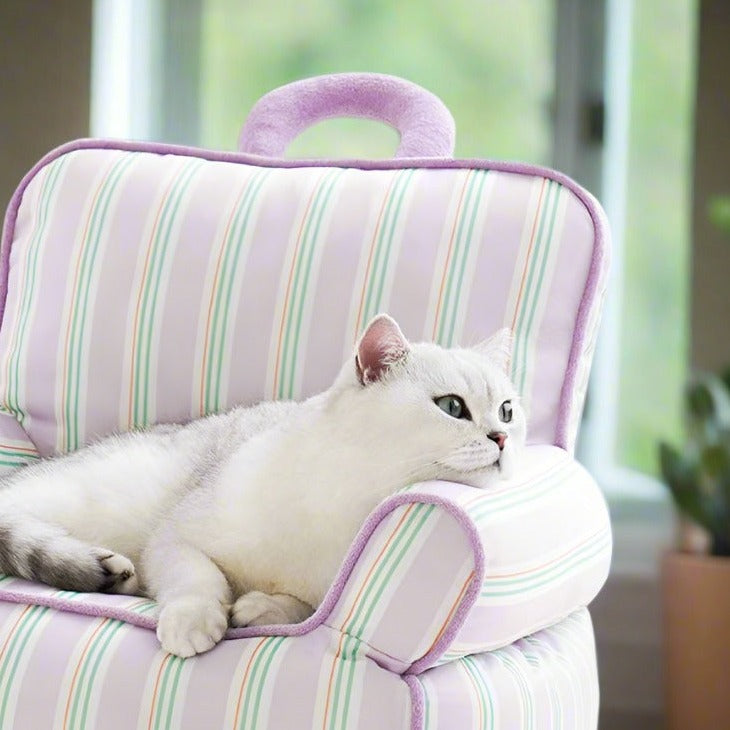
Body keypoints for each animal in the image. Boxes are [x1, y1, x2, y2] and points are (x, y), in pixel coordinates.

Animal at [0, 312, 524, 656]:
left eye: (507, 410)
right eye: (452, 407)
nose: (501, 438)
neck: (354, 496)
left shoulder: (321, 591)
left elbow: (300, 606)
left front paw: (259, 607)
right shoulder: (176, 537)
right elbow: (198, 576)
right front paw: (195, 620)